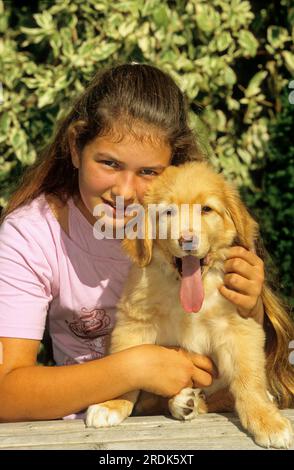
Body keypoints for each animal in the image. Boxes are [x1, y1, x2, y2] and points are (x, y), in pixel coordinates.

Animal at [86, 163, 292, 450]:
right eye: (168, 212)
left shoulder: (239, 327)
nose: (187, 240)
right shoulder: (134, 323)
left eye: (206, 209)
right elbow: (126, 367)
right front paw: (112, 404)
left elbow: (248, 378)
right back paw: (183, 401)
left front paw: (267, 420)